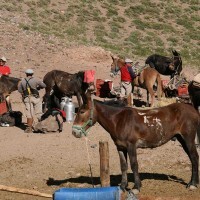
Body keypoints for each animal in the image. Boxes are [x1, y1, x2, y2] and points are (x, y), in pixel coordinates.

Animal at [72, 90, 200, 194]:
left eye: (82, 111)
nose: (74, 132)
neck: (119, 120)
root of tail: (193, 110)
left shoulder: (131, 146)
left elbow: (134, 165)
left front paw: (136, 187)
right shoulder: (120, 147)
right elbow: (123, 166)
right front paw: (122, 187)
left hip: (188, 138)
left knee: (194, 157)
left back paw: (193, 184)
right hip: (181, 139)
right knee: (192, 157)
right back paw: (194, 182)